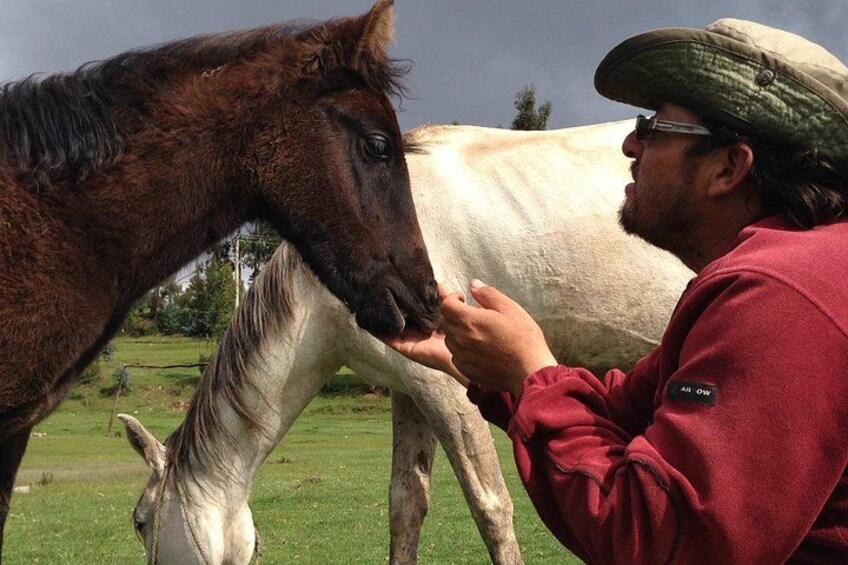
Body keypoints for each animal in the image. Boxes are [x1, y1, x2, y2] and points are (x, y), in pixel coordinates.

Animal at [121, 120, 694, 564]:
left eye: (139, 521)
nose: (139, 523)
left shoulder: (449, 390)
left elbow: (491, 506)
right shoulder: (410, 390)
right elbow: (405, 505)